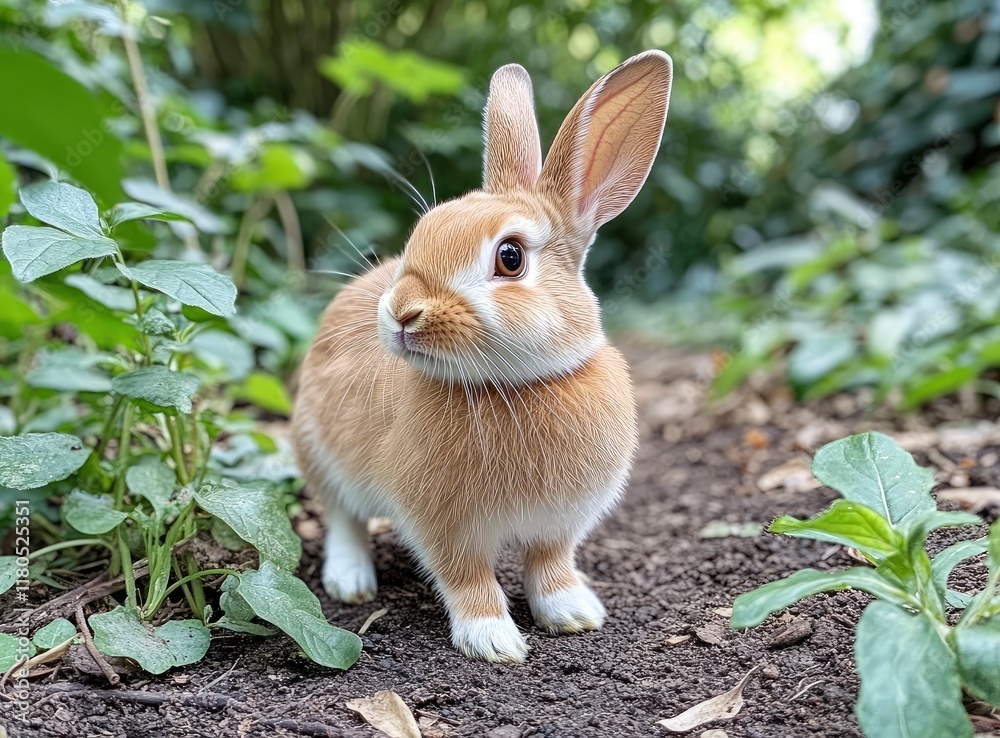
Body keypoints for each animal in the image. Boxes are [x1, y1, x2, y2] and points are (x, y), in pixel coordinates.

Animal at [292, 50, 672, 662]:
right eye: (421, 233)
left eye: (510, 257)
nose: (401, 311)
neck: (514, 385)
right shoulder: (445, 526)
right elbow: (467, 579)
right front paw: (493, 641)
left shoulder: (559, 525)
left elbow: (550, 564)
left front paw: (575, 613)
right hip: (317, 450)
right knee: (343, 518)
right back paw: (351, 582)